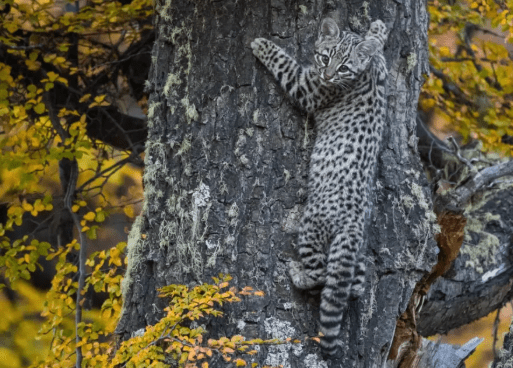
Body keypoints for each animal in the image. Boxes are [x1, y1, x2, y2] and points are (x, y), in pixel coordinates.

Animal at [250, 18, 386, 356]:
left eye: (343, 67)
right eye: (326, 58)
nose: (327, 75)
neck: (364, 75)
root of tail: (352, 224)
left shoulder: (308, 90)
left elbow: (287, 66)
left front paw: (262, 45)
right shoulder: (381, 70)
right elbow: (378, 44)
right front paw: (378, 29)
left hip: (312, 228)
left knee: (321, 272)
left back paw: (297, 274)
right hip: (352, 252)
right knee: (351, 283)